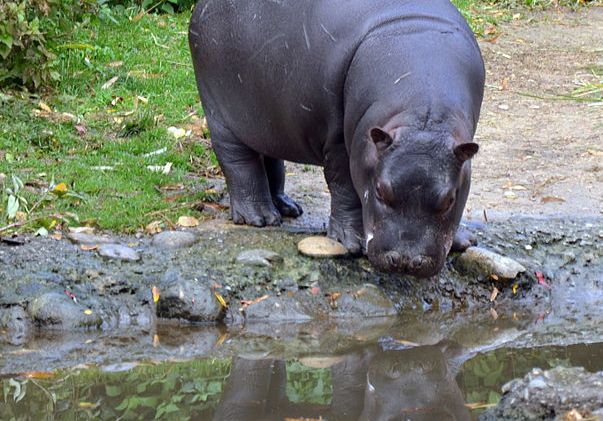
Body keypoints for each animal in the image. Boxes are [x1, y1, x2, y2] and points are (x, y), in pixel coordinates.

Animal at [189, 0, 486, 278]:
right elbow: (344, 187)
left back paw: (287, 208)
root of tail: (201, 8)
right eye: (380, 189)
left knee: (270, 158)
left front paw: (464, 241)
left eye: (449, 200)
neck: (420, 109)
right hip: (220, 114)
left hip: (267, 119)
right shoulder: (340, 142)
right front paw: (352, 243)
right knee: (239, 164)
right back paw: (260, 218)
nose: (405, 261)